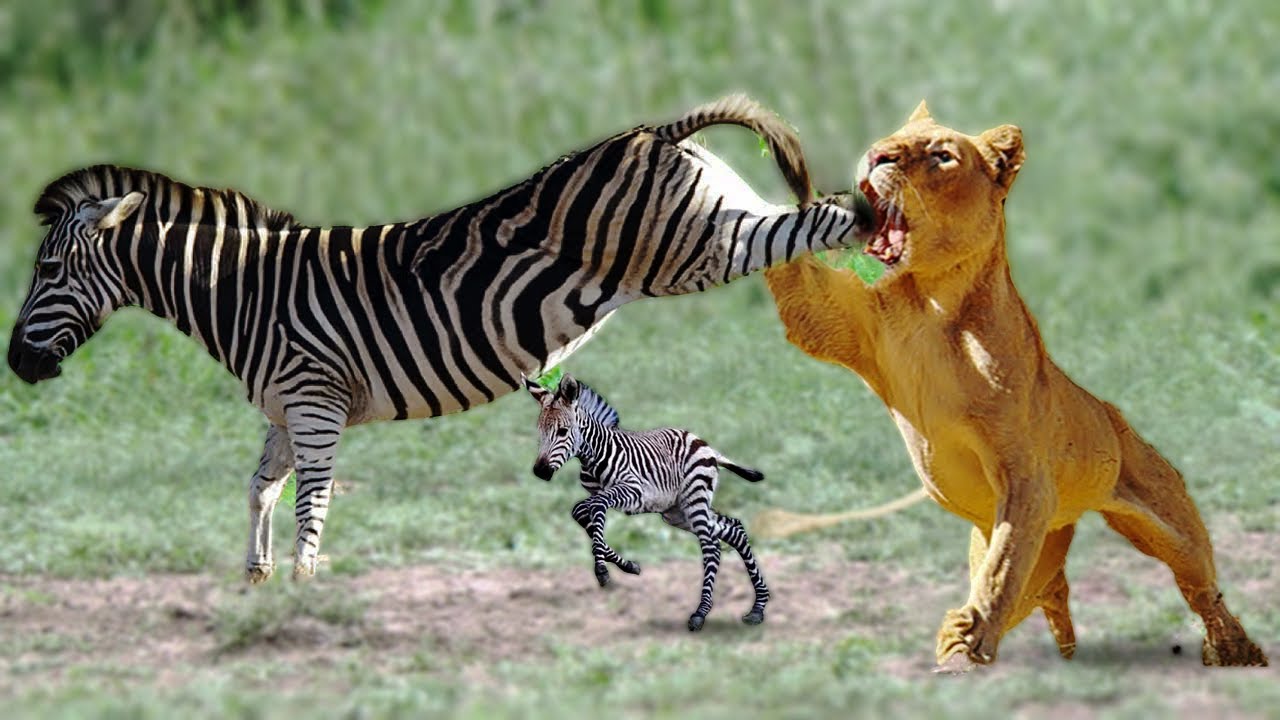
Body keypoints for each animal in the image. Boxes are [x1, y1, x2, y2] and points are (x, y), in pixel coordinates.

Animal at [7, 95, 872, 582]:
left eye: (46, 269)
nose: (16, 363)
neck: (242, 292)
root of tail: (653, 132)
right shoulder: (286, 409)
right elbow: (261, 490)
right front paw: (256, 580)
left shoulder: (314, 402)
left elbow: (311, 501)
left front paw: (303, 585)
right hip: (719, 219)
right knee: (809, 216)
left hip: (697, 249)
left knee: (826, 217)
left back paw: (888, 228)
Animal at [523, 373, 769, 631]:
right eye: (540, 431)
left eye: (563, 431)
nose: (540, 472)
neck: (594, 457)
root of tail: (706, 445)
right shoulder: (597, 493)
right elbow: (581, 511)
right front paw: (626, 565)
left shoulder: (634, 492)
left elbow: (596, 507)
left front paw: (602, 569)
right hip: (678, 512)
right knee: (733, 530)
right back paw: (758, 608)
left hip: (694, 500)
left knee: (711, 547)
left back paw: (701, 613)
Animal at [761, 102, 1269, 671]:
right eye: (890, 138)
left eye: (941, 156)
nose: (876, 155)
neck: (928, 303)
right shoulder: (836, 321)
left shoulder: (1024, 478)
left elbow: (1000, 572)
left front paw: (967, 641)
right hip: (1043, 548)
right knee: (1047, 590)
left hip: (1167, 525)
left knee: (1200, 585)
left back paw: (1235, 649)